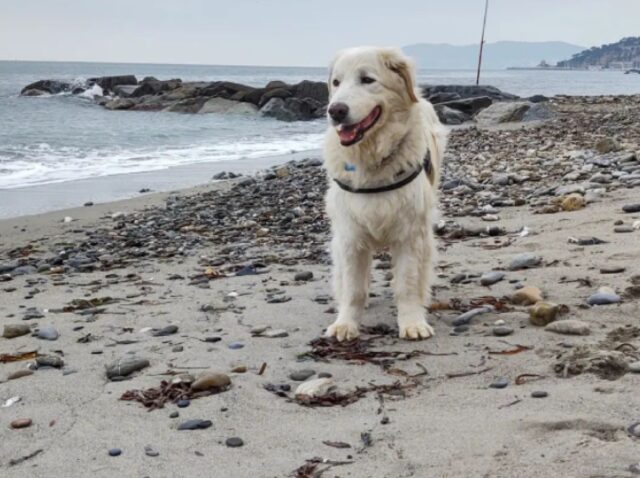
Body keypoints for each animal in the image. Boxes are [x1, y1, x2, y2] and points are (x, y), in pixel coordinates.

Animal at [322, 46, 448, 342]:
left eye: (367, 79)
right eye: (337, 82)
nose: (336, 110)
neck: (372, 160)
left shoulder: (410, 234)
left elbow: (407, 283)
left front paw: (412, 322)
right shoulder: (350, 236)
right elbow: (353, 289)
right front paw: (346, 323)